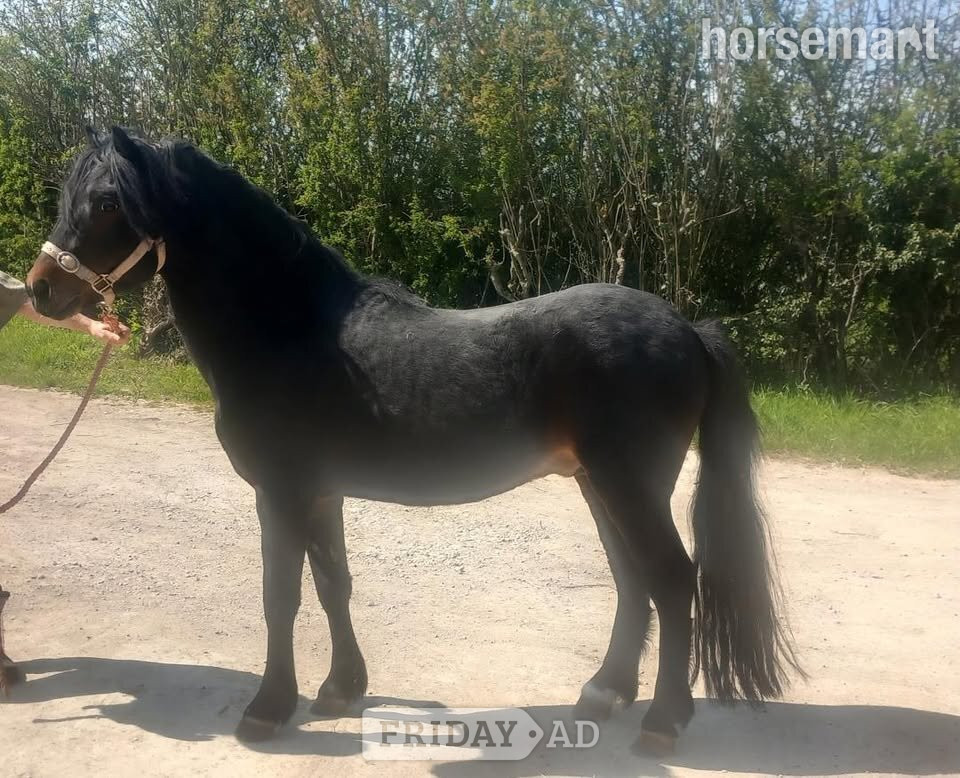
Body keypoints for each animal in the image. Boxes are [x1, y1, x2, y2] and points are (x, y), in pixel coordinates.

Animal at [25, 126, 800, 755]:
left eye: (107, 203)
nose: (39, 292)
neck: (292, 329)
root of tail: (688, 329)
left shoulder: (281, 494)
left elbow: (282, 596)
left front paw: (269, 710)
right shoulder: (321, 493)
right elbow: (333, 585)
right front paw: (341, 690)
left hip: (629, 485)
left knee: (670, 581)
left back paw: (663, 723)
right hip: (598, 484)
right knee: (633, 582)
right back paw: (604, 694)